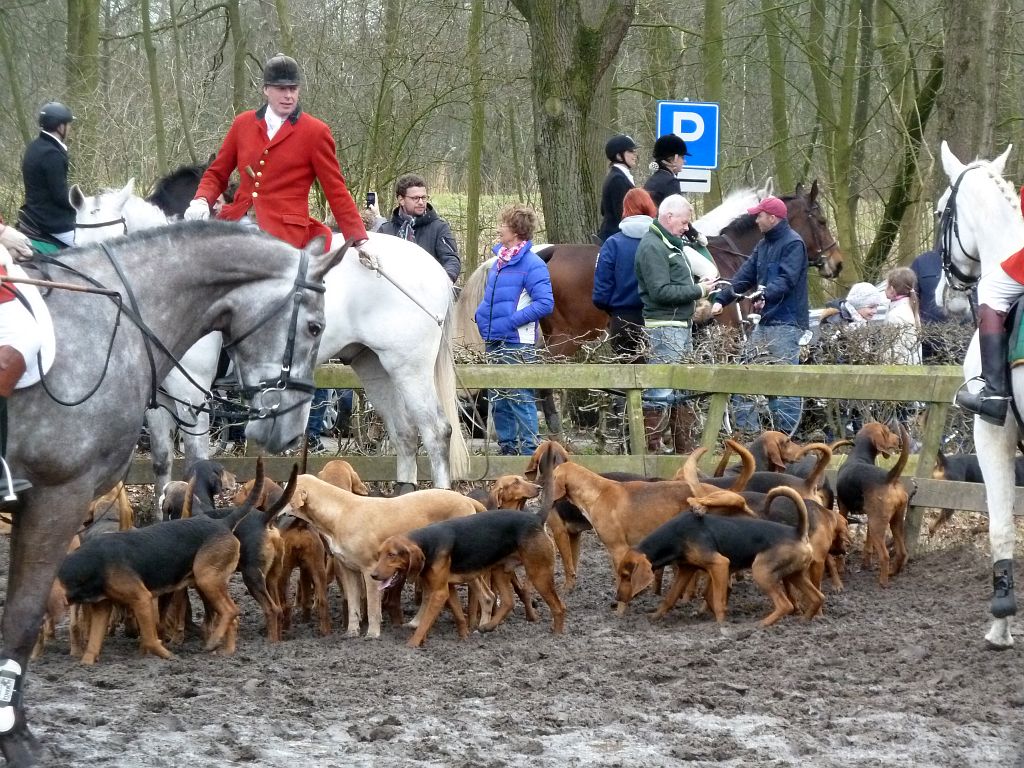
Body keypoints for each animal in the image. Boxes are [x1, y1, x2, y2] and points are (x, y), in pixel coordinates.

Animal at [74, 183, 468, 489]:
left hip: (409, 368)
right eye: (76, 240)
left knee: (435, 432)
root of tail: (433, 267)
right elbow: (161, 461)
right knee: (405, 433)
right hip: (373, 365)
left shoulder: (192, 394)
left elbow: (195, 461)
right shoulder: (157, 398)